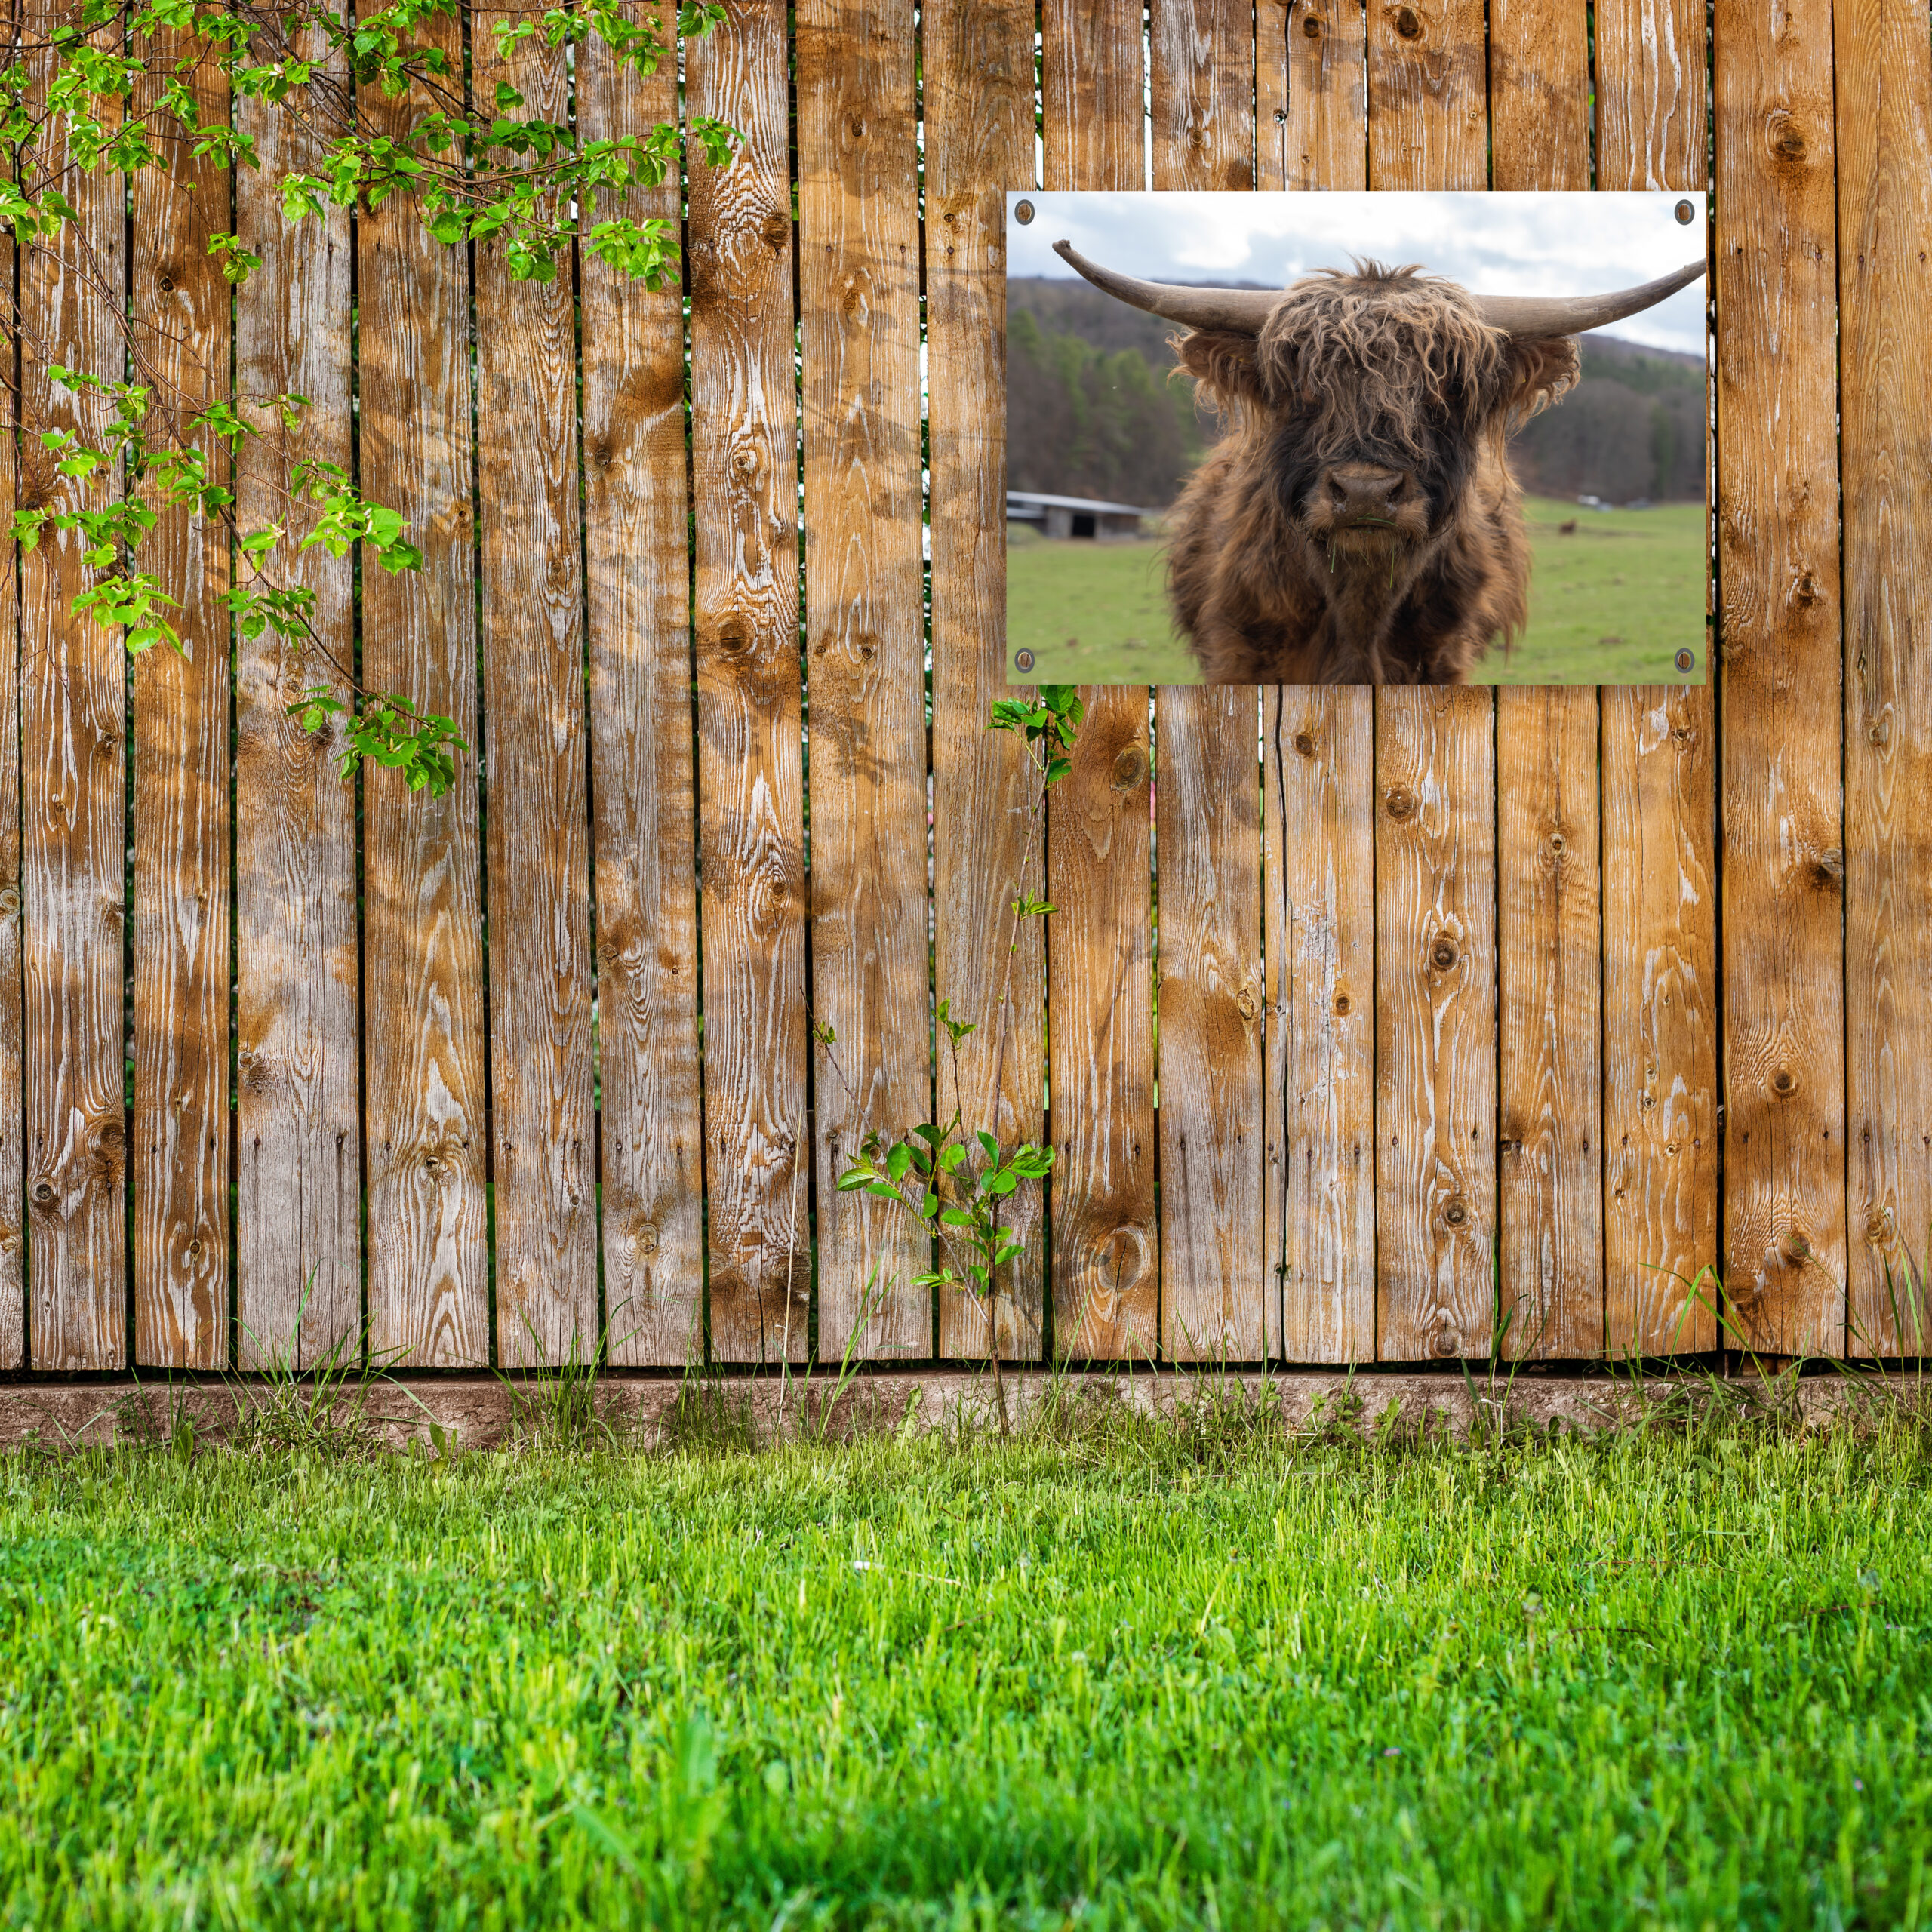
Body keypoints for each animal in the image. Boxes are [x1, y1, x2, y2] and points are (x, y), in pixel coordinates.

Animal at [1051, 240, 1706, 684]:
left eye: (1447, 392)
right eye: (1302, 390)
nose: (1366, 492)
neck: (1359, 613)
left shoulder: (1444, 658)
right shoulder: (1240, 656)